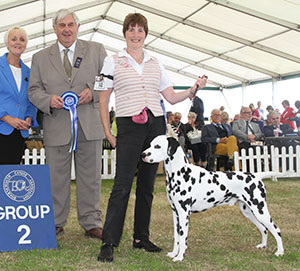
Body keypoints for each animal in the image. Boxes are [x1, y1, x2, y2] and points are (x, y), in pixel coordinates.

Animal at [142, 137, 284, 262]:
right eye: (150, 144)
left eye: (157, 146)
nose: (143, 154)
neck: (180, 172)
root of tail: (255, 176)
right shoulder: (175, 213)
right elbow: (176, 236)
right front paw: (173, 253)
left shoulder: (184, 213)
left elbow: (182, 238)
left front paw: (180, 257)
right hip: (249, 212)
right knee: (264, 229)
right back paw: (263, 245)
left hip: (260, 210)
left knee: (276, 230)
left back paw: (280, 252)